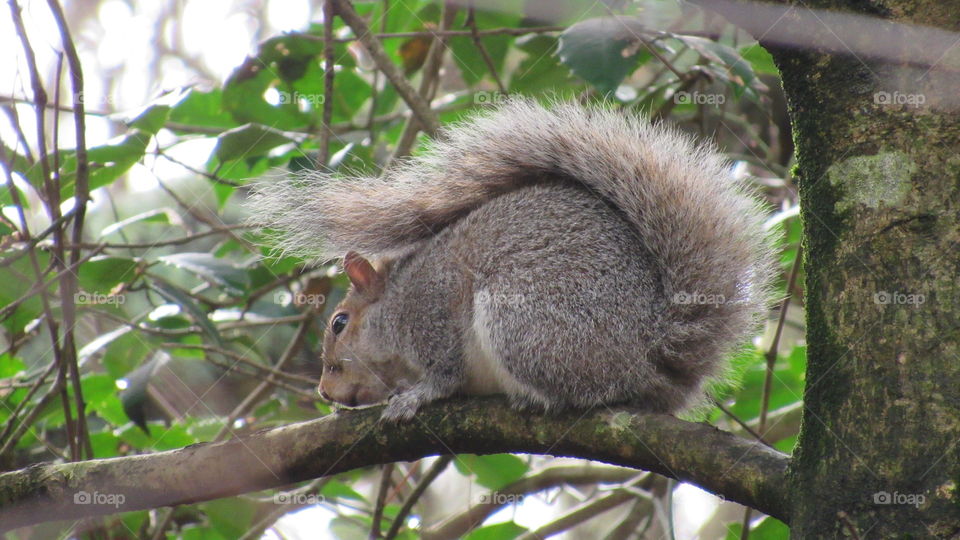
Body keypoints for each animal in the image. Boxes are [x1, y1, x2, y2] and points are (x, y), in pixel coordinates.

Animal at [249, 99, 778, 421]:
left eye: (339, 323)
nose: (323, 391)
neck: (395, 304)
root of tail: (650, 354)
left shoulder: (432, 311)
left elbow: (444, 373)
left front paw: (418, 395)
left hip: (524, 321)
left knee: (587, 390)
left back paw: (537, 397)